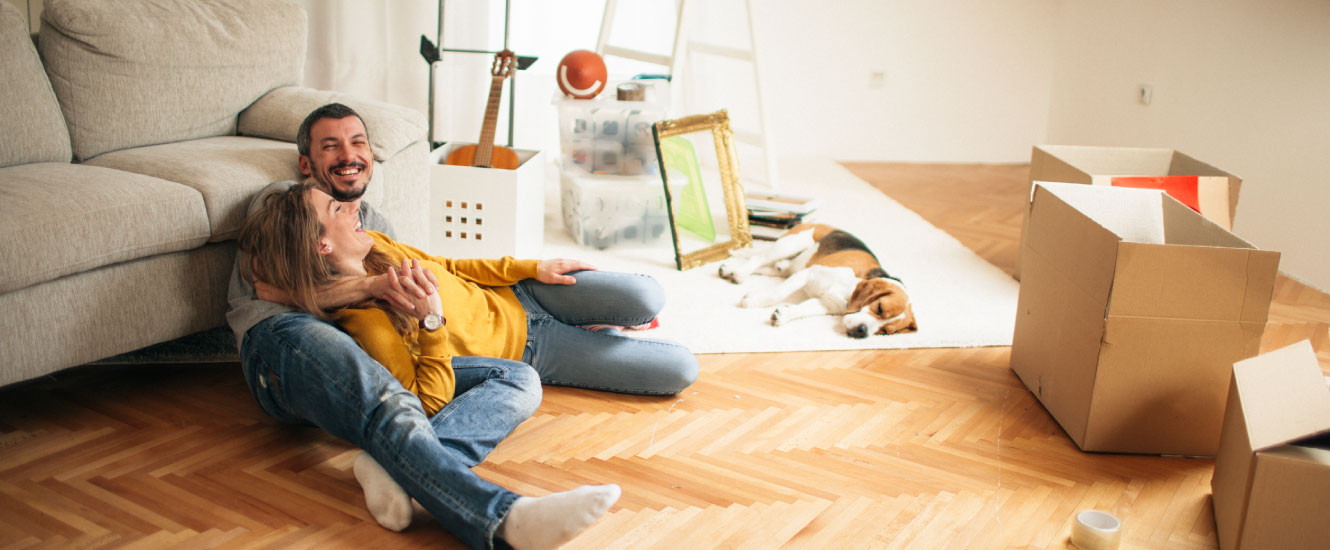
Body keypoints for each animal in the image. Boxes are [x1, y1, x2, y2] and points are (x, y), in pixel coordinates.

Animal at [718, 221, 915, 334]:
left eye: (885, 332)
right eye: (880, 308)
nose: (862, 332)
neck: (850, 289)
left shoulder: (826, 303)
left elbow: (803, 309)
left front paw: (785, 314)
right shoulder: (808, 274)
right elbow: (778, 293)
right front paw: (754, 301)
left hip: (787, 264)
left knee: (772, 267)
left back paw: (730, 269)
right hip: (790, 244)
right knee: (758, 258)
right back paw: (739, 272)